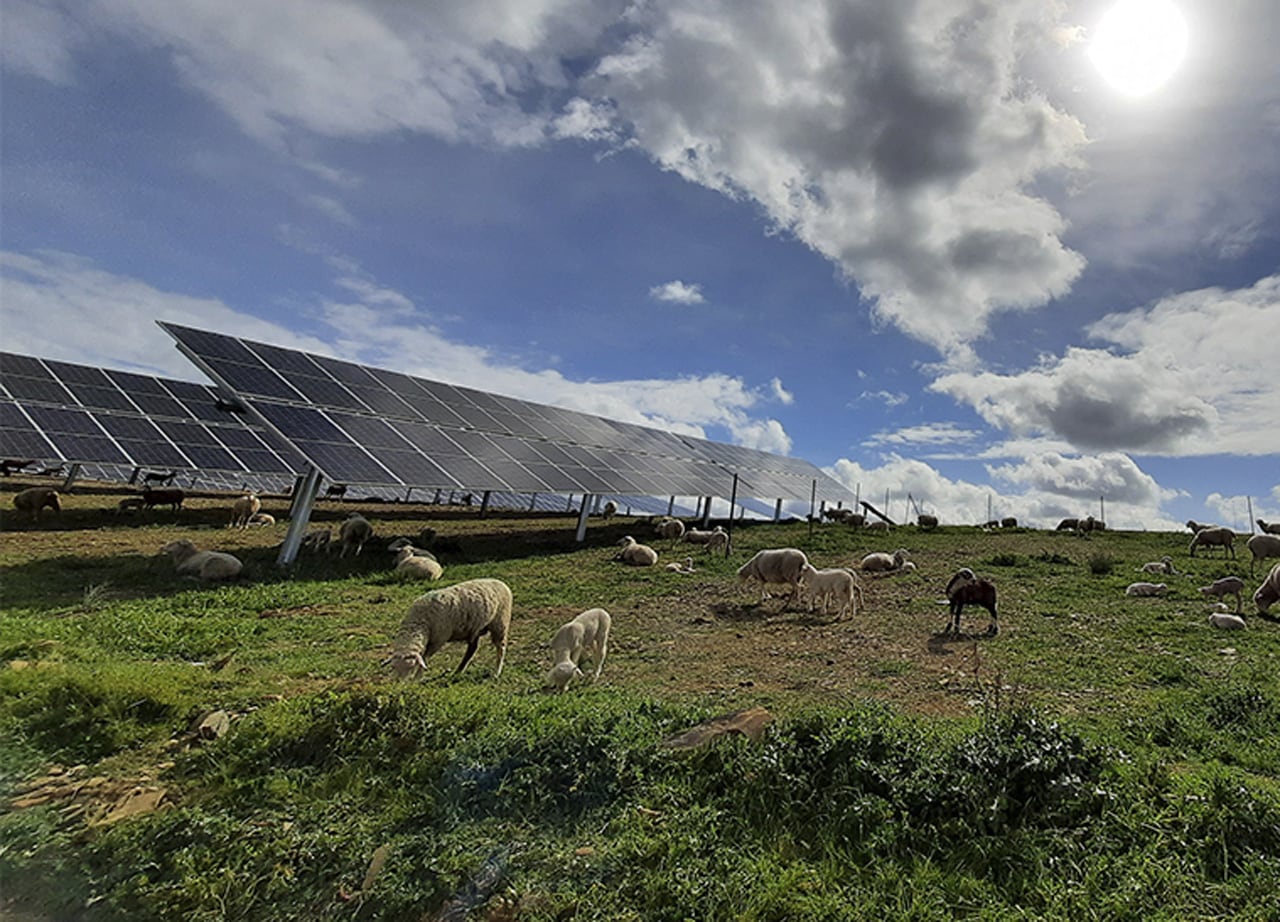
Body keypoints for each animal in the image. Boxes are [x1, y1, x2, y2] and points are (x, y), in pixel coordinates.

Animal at [381, 578, 512, 681]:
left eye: (410, 667)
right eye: (393, 667)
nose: (398, 683)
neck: (420, 622)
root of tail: (500, 582)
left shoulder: (438, 639)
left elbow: (425, 658)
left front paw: (416, 678)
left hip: (500, 622)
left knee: (500, 648)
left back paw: (496, 672)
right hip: (476, 628)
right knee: (472, 649)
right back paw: (458, 671)